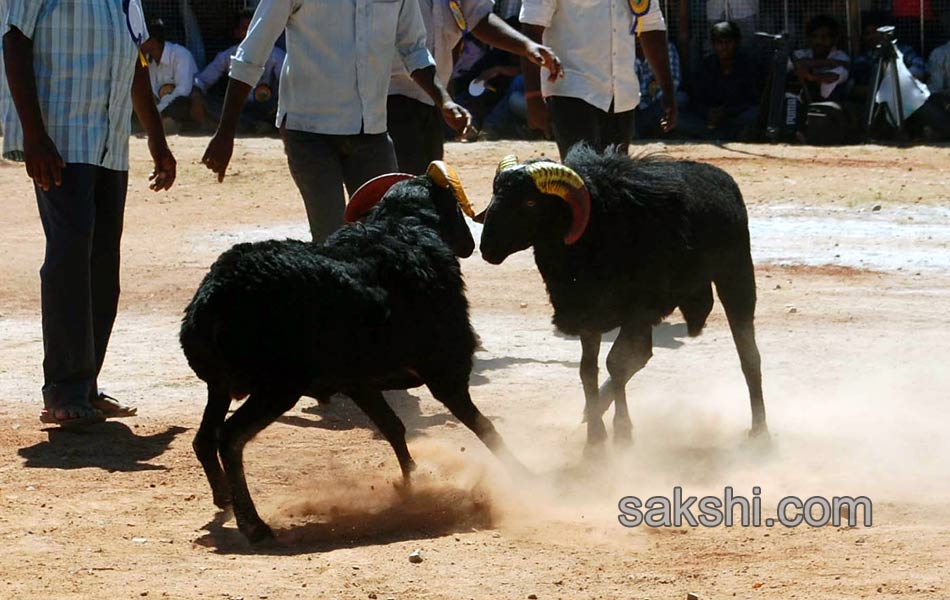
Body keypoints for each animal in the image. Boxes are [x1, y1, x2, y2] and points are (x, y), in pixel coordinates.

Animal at [182, 163, 524, 544]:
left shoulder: (361, 384)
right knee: (229, 437)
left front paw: (413, 487)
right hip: (277, 389)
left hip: (221, 387)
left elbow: (394, 428)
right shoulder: (446, 373)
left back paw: (224, 501)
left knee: (204, 438)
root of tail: (212, 298)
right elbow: (484, 427)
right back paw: (253, 525)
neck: (402, 229)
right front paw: (525, 476)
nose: (473, 245)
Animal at [480, 145, 768, 452]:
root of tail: (724, 179)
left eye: (531, 203)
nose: (487, 248)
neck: (598, 233)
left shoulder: (637, 313)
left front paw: (620, 431)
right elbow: (589, 369)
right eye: (495, 192)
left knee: (749, 356)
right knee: (641, 356)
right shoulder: (589, 317)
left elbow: (616, 363)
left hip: (736, 277)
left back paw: (760, 431)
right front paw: (596, 436)